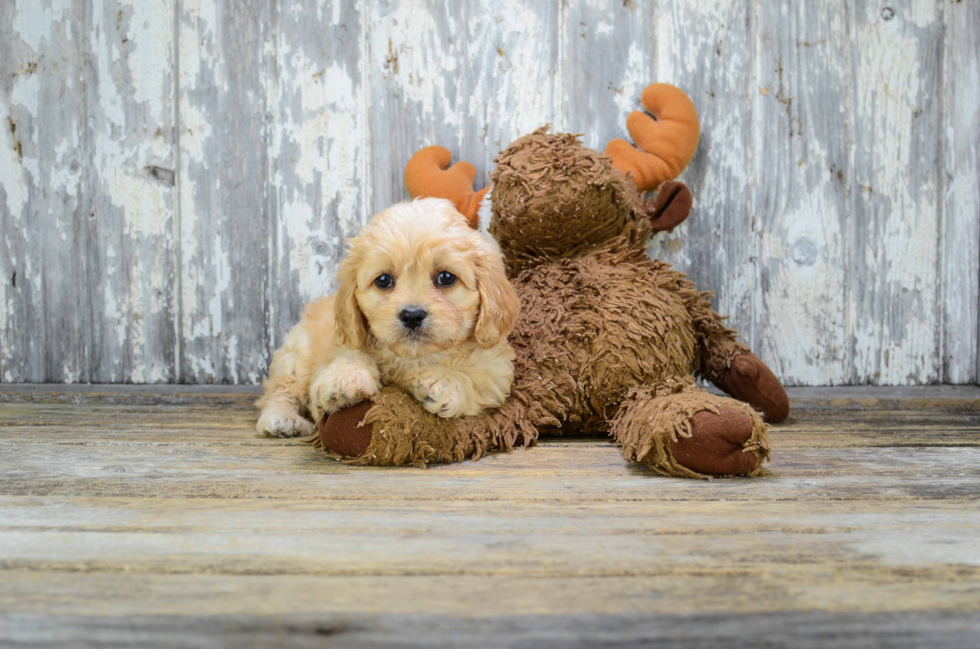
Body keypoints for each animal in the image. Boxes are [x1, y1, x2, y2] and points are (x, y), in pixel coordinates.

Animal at [256, 199, 524, 436]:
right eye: (383, 280)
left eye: (446, 277)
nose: (412, 315)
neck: (413, 358)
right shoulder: (343, 340)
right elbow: (349, 357)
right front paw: (343, 379)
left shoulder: (496, 370)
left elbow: (475, 379)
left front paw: (442, 382)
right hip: (296, 356)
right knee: (279, 390)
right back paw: (282, 419)